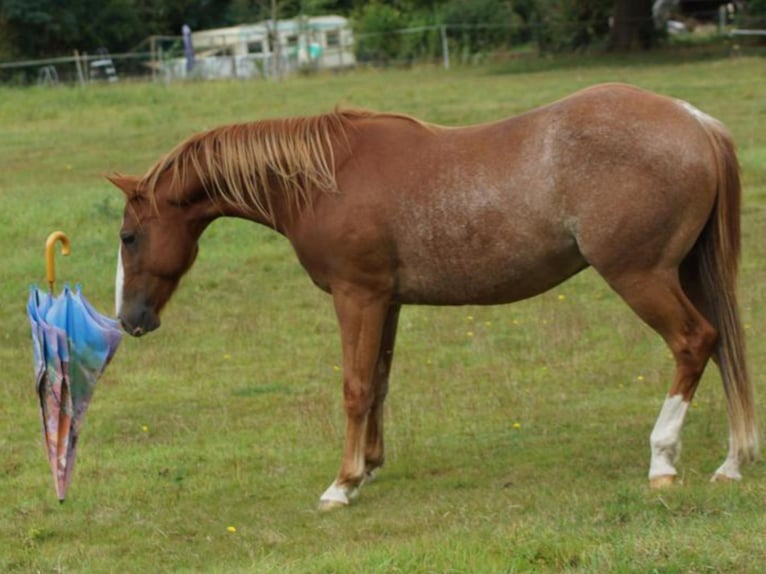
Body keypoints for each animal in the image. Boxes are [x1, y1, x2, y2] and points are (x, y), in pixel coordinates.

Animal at [110, 83, 758, 510]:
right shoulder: (387, 302)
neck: (323, 180)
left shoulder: (357, 297)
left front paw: (341, 484)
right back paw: (731, 463)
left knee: (694, 342)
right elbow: (379, 383)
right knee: (724, 347)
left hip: (640, 276)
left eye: (128, 236)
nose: (131, 319)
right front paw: (369, 468)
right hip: (686, 272)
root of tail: (694, 120)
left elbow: (355, 387)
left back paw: (662, 460)